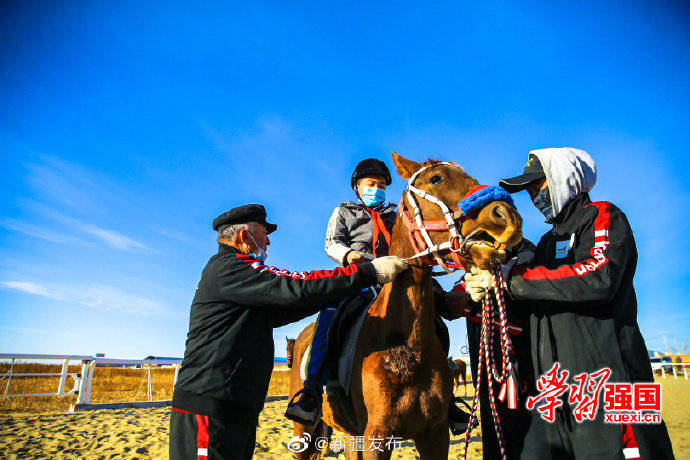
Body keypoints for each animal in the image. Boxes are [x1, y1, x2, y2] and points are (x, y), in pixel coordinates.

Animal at [288, 153, 520, 458]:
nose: (506, 215)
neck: (405, 349)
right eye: (436, 179)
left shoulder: (435, 435)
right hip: (305, 430)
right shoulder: (377, 436)